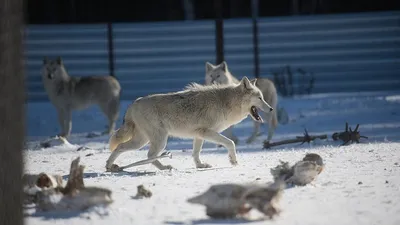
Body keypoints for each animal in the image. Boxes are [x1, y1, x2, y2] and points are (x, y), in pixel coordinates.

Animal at [106, 76, 274, 171]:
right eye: (259, 98)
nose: (271, 109)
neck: (226, 102)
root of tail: (133, 103)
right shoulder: (207, 132)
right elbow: (230, 142)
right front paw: (233, 161)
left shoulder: (199, 135)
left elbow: (196, 153)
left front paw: (200, 166)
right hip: (159, 141)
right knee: (149, 155)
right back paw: (164, 167)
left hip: (142, 141)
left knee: (120, 147)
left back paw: (110, 167)